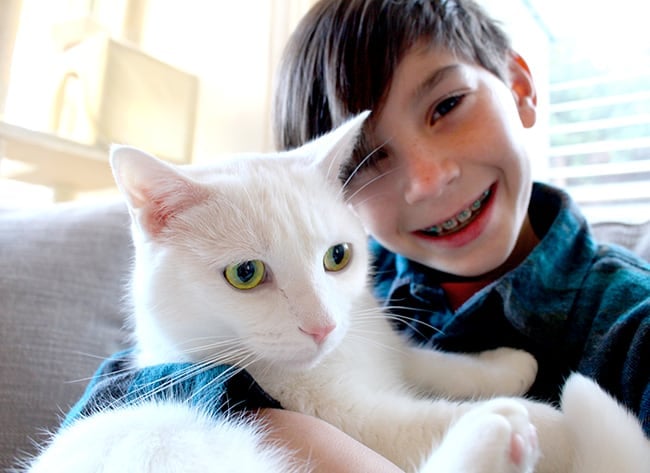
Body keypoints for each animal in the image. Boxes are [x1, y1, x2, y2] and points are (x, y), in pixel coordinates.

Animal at [25, 112, 648, 470]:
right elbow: (420, 419)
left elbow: (417, 357)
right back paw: (497, 433)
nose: (321, 325)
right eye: (245, 274)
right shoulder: (357, 419)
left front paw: (504, 365)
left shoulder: (373, 338)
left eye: (338, 257)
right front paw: (546, 420)